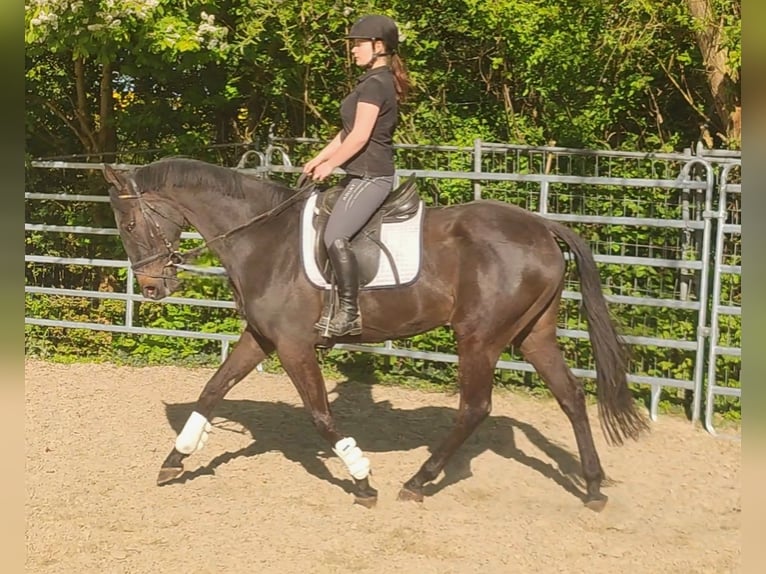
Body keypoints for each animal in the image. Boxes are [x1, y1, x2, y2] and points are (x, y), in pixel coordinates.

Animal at [102, 157, 648, 512]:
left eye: (128, 223)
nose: (151, 288)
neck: (263, 239)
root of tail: (540, 226)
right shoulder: (261, 336)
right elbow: (212, 390)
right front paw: (175, 460)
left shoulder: (294, 346)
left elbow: (321, 415)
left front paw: (362, 480)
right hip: (533, 335)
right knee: (570, 396)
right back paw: (593, 486)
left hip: (479, 338)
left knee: (475, 408)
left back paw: (419, 480)